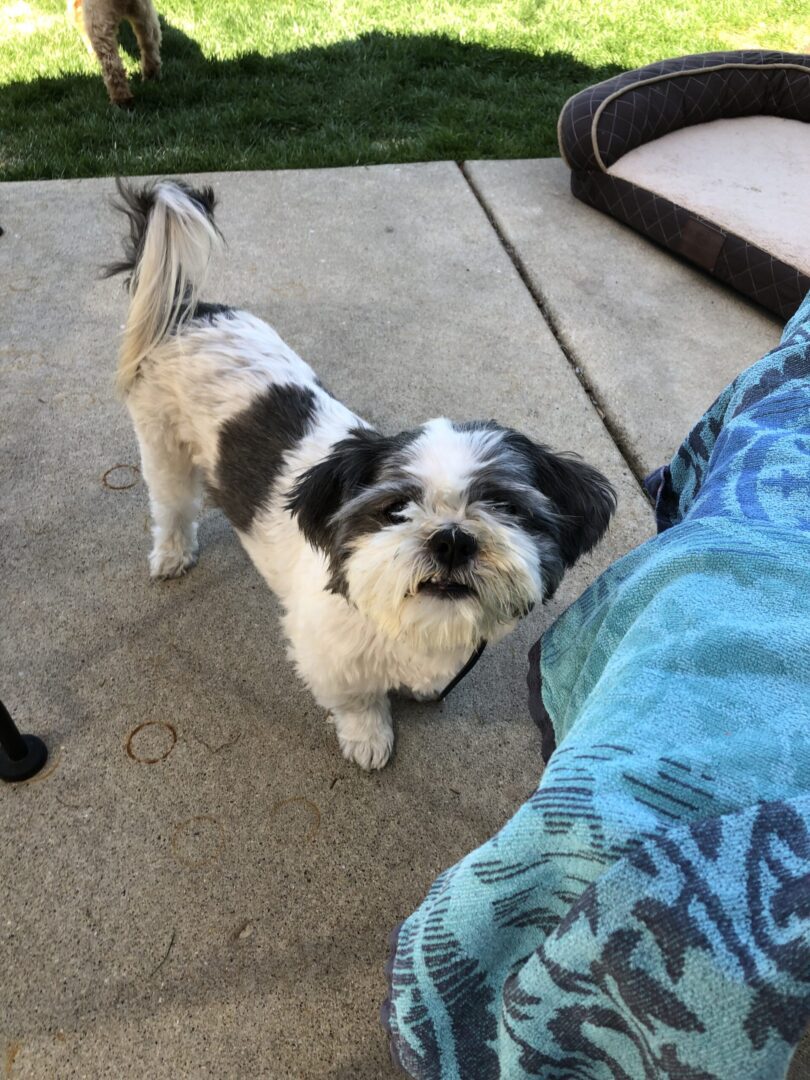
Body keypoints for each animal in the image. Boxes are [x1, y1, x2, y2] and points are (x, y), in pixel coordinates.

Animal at [106, 179, 613, 768]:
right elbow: (356, 699)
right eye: (395, 509)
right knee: (171, 506)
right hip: (162, 446)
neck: (409, 625)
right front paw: (367, 735)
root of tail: (188, 310)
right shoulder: (327, 653)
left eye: (505, 506)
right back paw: (171, 553)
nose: (452, 539)